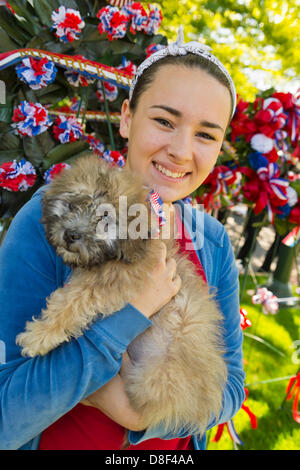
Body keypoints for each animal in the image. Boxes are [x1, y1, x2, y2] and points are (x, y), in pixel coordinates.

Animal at [16, 153, 227, 436]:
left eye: (104, 219)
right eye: (72, 204)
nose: (71, 234)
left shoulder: (113, 281)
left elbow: (72, 304)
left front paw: (39, 335)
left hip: (153, 378)